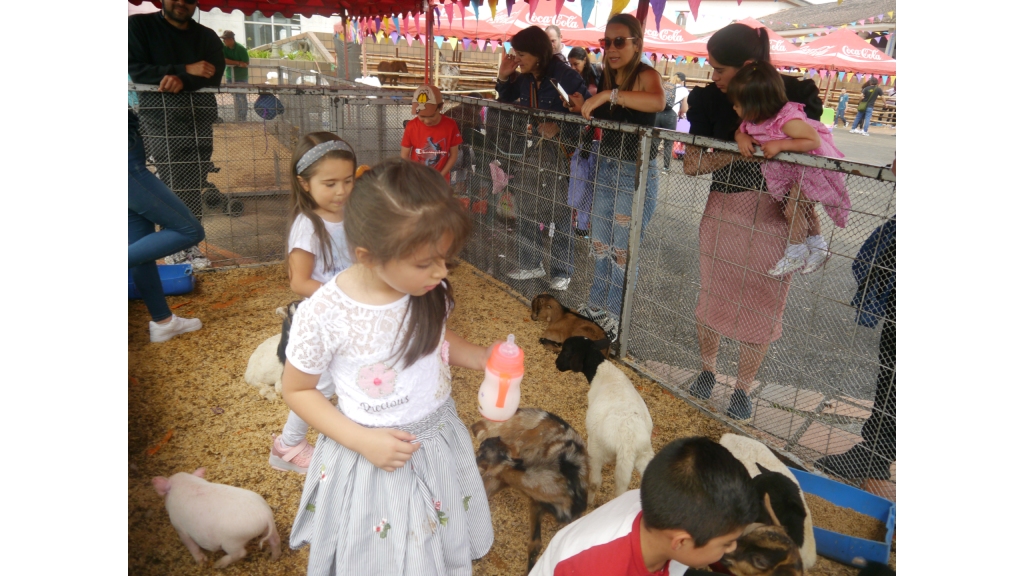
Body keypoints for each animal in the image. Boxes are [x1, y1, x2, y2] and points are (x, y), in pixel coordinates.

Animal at [557, 334, 651, 500]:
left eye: (566, 350)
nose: (556, 364)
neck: (602, 371)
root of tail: (628, 443)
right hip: (644, 454)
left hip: (597, 450)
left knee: (595, 482)